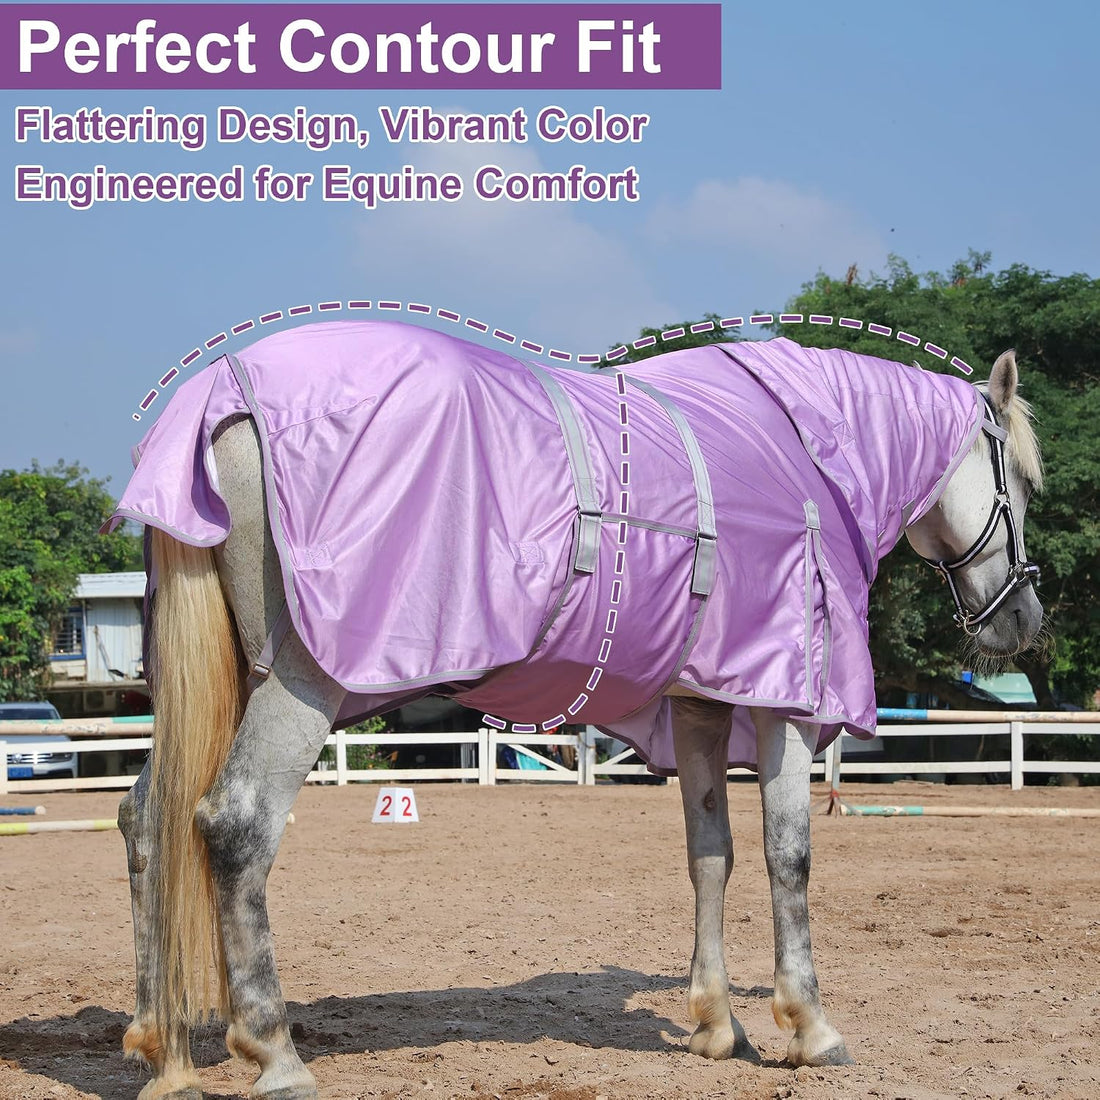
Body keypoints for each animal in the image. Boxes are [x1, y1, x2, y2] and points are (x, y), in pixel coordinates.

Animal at [109, 323, 1043, 1099]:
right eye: (1025, 485)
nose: (1025, 619)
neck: (803, 459)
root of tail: (222, 397)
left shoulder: (699, 705)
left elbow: (710, 853)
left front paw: (718, 1025)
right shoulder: (781, 702)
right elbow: (789, 858)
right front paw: (810, 1027)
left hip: (225, 683)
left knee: (147, 820)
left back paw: (164, 1052)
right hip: (301, 682)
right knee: (236, 822)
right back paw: (274, 1052)